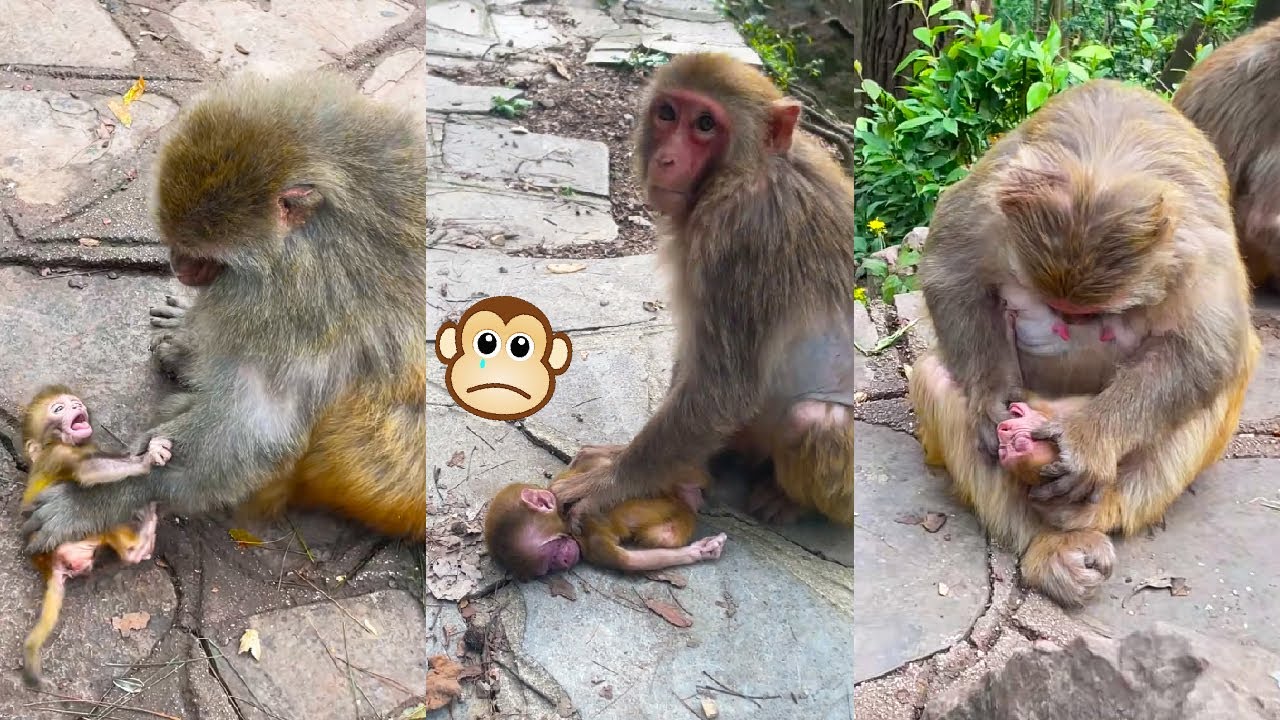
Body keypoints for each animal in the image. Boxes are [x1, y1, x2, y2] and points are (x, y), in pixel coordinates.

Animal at [18, 384, 173, 687]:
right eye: (59, 408)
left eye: (74, 403)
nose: (77, 407)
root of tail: (48, 565)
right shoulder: (59, 453)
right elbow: (87, 470)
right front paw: (146, 458)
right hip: (67, 541)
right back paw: (141, 540)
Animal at [21, 70, 428, 552]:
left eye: (202, 254)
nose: (176, 265)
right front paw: (187, 335)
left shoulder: (297, 300)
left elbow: (256, 427)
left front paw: (105, 498)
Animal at [484, 445, 726, 579]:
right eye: (549, 566)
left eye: (553, 549)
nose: (564, 562)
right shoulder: (592, 546)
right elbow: (629, 562)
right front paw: (700, 551)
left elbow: (603, 466)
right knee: (663, 535)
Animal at [547, 52, 855, 529]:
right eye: (668, 113)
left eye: (706, 124)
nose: (667, 159)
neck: (750, 169)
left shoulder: (745, 233)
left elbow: (724, 386)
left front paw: (613, 483)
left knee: (812, 420)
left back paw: (793, 502)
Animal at [910, 78, 1260, 607]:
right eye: (1056, 307)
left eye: (1090, 313)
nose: (1067, 322)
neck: (1101, 160)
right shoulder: (988, 204)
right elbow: (949, 273)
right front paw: (992, 398)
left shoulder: (1198, 247)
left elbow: (1208, 349)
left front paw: (1088, 443)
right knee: (935, 377)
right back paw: (1047, 537)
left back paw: (1078, 513)